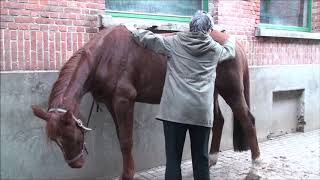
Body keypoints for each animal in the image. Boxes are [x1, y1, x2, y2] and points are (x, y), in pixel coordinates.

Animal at [30, 25, 260, 180]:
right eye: (57, 140)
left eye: (73, 135)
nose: (76, 164)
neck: (105, 55)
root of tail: (234, 44)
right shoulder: (112, 104)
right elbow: (121, 139)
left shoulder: (124, 101)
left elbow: (126, 140)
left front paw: (127, 175)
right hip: (211, 92)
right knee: (219, 120)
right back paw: (211, 159)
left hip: (232, 91)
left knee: (247, 121)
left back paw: (255, 166)